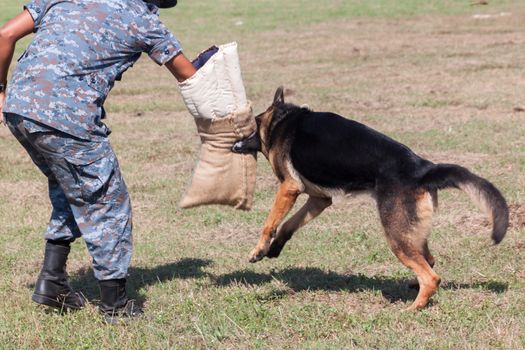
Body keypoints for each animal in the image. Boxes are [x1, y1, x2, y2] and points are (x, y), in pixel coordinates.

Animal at [232, 87, 508, 308]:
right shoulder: (319, 199)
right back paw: (413, 287)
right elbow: (289, 224)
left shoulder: (289, 188)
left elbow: (270, 222)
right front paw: (275, 247)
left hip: (395, 235)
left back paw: (412, 308)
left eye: (250, 128)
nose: (233, 145)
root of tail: (423, 169)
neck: (282, 121)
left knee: (431, 277)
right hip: (411, 232)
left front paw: (259, 250)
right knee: (429, 260)